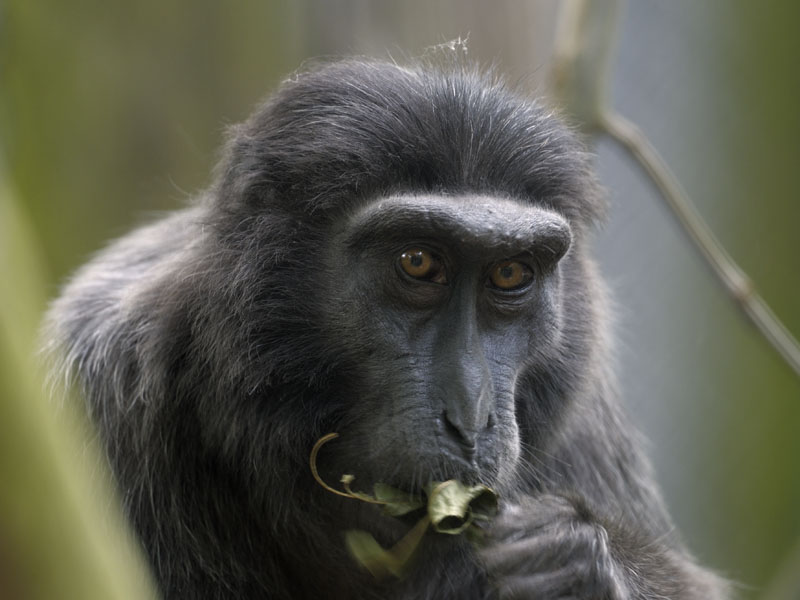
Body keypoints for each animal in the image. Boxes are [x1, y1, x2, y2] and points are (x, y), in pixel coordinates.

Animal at [45, 57, 729, 599]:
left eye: (510, 272)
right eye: (417, 262)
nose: (471, 419)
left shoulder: (582, 413)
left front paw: (583, 568)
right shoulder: (105, 393)